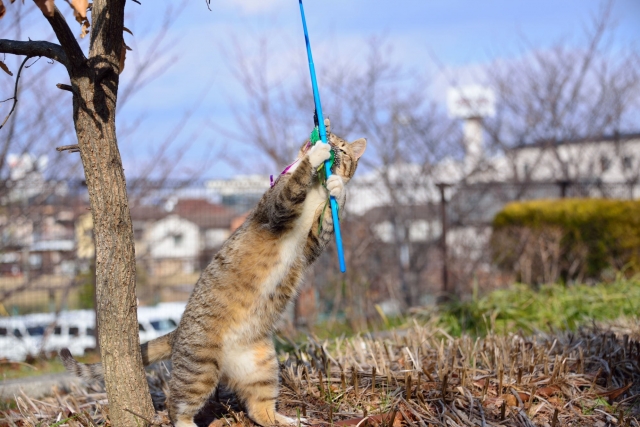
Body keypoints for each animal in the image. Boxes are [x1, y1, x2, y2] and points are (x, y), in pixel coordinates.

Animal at [63, 121, 370, 427]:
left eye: (343, 150)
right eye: (329, 139)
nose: (329, 143)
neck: (315, 191)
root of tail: (178, 331)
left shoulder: (311, 245)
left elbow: (327, 221)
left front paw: (338, 189)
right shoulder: (277, 209)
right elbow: (295, 182)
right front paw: (315, 155)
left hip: (262, 366)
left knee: (258, 409)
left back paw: (286, 420)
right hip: (199, 367)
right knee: (176, 406)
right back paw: (189, 423)